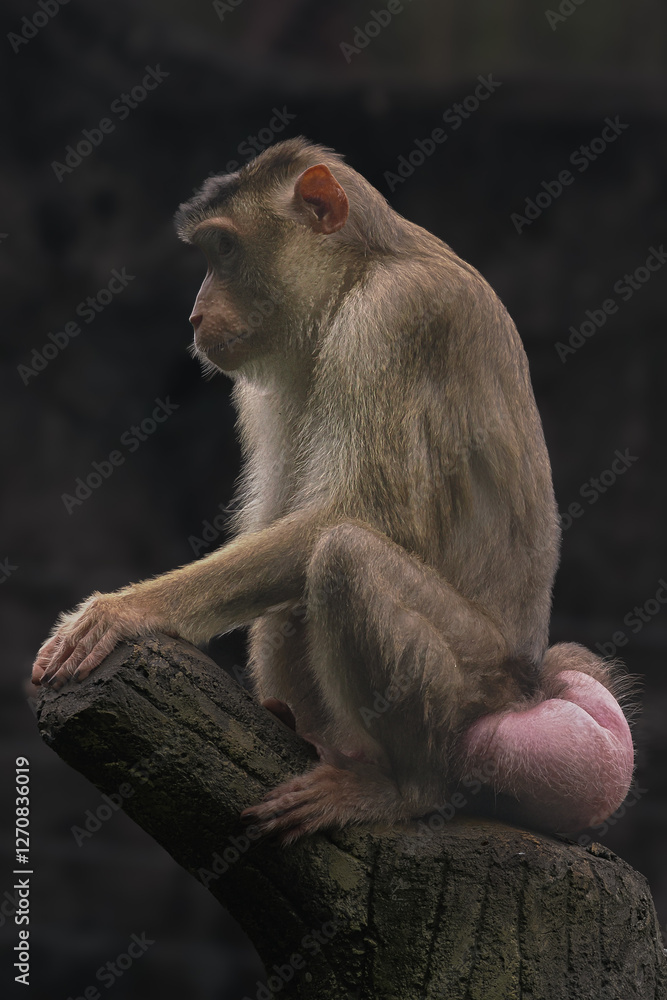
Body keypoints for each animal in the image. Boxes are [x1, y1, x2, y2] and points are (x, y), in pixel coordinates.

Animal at [32, 137, 634, 844]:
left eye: (225, 250)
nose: (196, 313)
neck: (359, 273)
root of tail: (531, 687)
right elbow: (280, 517)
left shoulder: (395, 317)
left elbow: (362, 515)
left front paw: (129, 609)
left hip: (476, 684)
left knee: (346, 557)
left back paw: (407, 787)